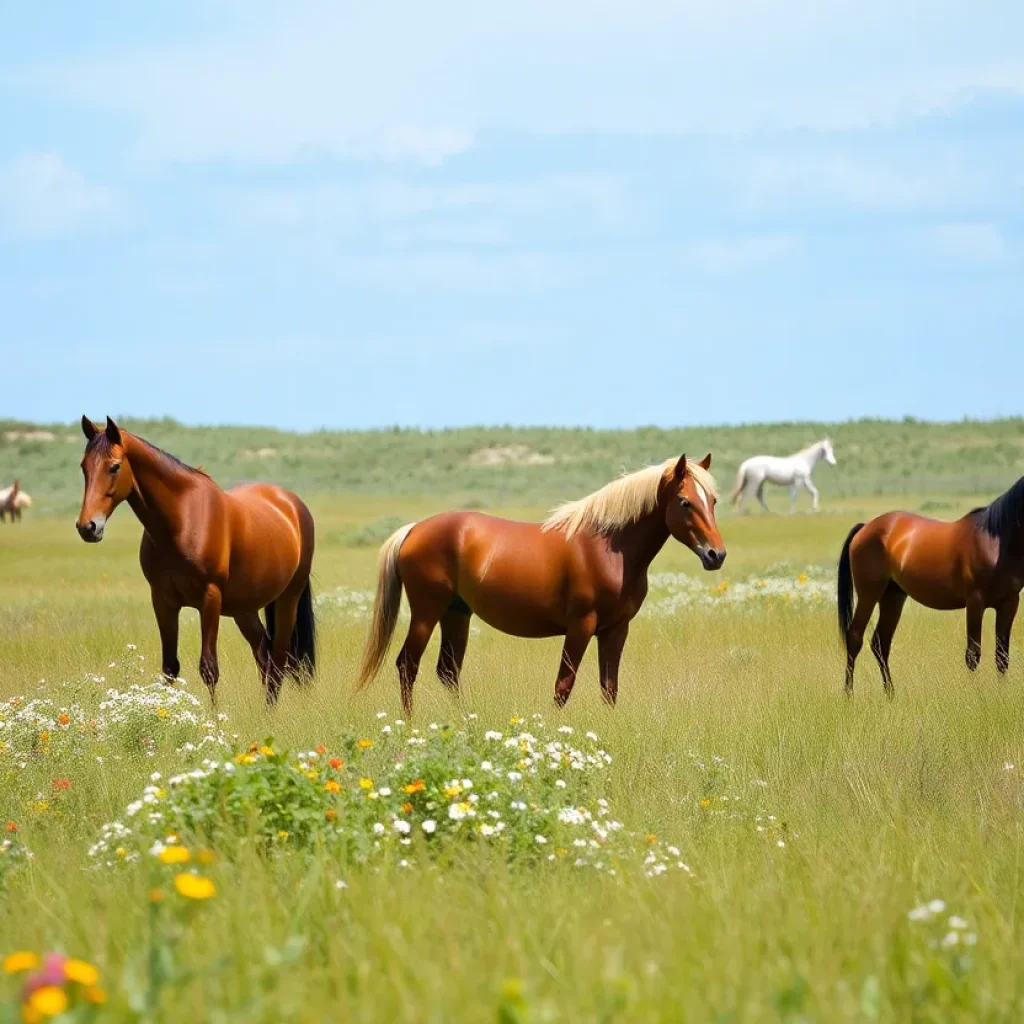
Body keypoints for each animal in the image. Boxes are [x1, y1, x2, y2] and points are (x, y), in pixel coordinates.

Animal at [77, 415, 315, 704]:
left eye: (114, 466)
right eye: (84, 467)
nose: (88, 527)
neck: (181, 520)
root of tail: (292, 504)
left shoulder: (209, 598)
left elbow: (209, 668)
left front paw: (213, 715)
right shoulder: (163, 601)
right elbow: (169, 667)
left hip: (288, 599)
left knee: (279, 660)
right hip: (244, 609)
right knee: (264, 655)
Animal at [356, 452, 724, 716]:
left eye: (713, 501)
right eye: (685, 502)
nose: (716, 555)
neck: (609, 547)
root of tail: (414, 529)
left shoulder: (616, 629)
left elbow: (609, 688)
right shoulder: (581, 627)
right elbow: (564, 685)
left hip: (456, 614)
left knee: (447, 671)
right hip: (426, 613)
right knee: (407, 665)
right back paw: (410, 724)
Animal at [839, 473, 1024, 696]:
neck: (997, 542)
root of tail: (865, 527)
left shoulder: (1009, 603)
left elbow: (1002, 656)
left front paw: (1001, 695)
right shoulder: (975, 602)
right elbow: (973, 654)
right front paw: (975, 695)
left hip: (893, 596)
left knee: (880, 643)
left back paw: (890, 694)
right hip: (869, 593)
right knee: (854, 637)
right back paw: (849, 695)